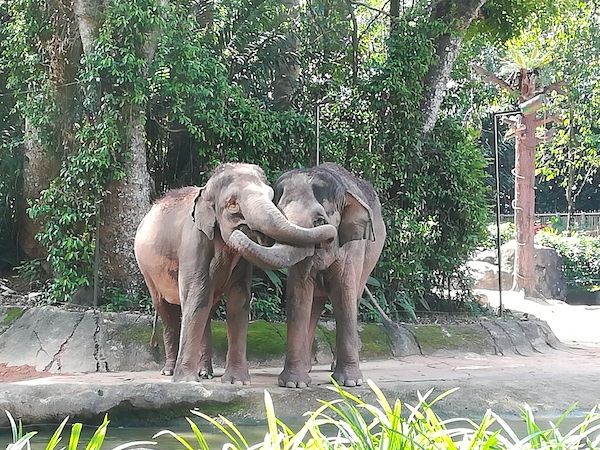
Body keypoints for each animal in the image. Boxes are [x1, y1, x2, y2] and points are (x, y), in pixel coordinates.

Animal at [134, 163, 338, 384]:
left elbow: (238, 302)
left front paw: (237, 381)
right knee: (167, 311)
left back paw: (205, 373)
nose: (322, 223)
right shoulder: (194, 244)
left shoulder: (241, 264)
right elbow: (196, 298)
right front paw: (186, 382)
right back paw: (170, 371)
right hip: (148, 272)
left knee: (207, 311)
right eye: (232, 204)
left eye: (271, 197)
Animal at [227, 162, 386, 386]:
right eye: (281, 214)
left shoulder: (352, 249)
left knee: (353, 297)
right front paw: (294, 383)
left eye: (319, 220)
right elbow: (299, 297)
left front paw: (349, 382)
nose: (237, 233)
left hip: (370, 259)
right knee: (315, 304)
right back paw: (307, 367)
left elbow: (344, 297)